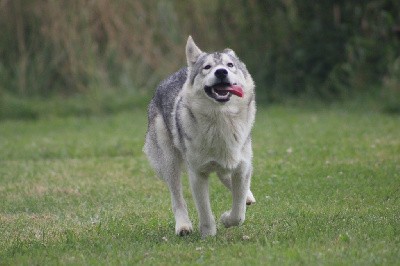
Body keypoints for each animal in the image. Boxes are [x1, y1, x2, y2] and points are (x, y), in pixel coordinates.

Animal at [144, 35, 256, 237]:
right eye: (207, 67)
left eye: (230, 65)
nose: (221, 72)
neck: (220, 121)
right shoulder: (197, 174)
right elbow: (204, 210)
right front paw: (208, 234)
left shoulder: (242, 168)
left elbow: (239, 212)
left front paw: (227, 219)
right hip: (169, 164)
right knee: (177, 199)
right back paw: (183, 226)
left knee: (229, 180)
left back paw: (248, 196)